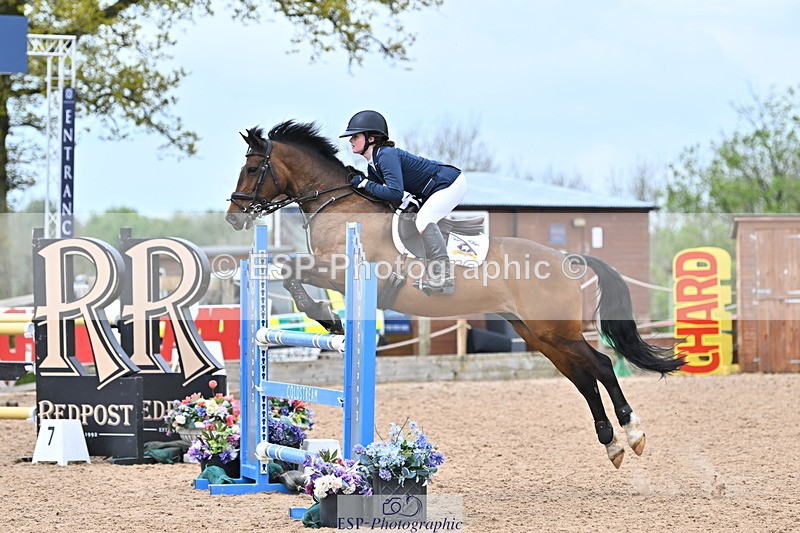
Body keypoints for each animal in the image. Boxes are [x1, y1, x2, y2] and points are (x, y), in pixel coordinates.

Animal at [225, 120, 684, 469]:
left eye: (252, 168)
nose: (233, 217)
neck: (336, 204)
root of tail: (567, 258)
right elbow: (289, 271)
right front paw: (326, 318)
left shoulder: (340, 267)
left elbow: (291, 270)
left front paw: (325, 316)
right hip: (540, 335)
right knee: (583, 378)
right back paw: (611, 442)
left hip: (557, 331)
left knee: (602, 366)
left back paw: (633, 433)